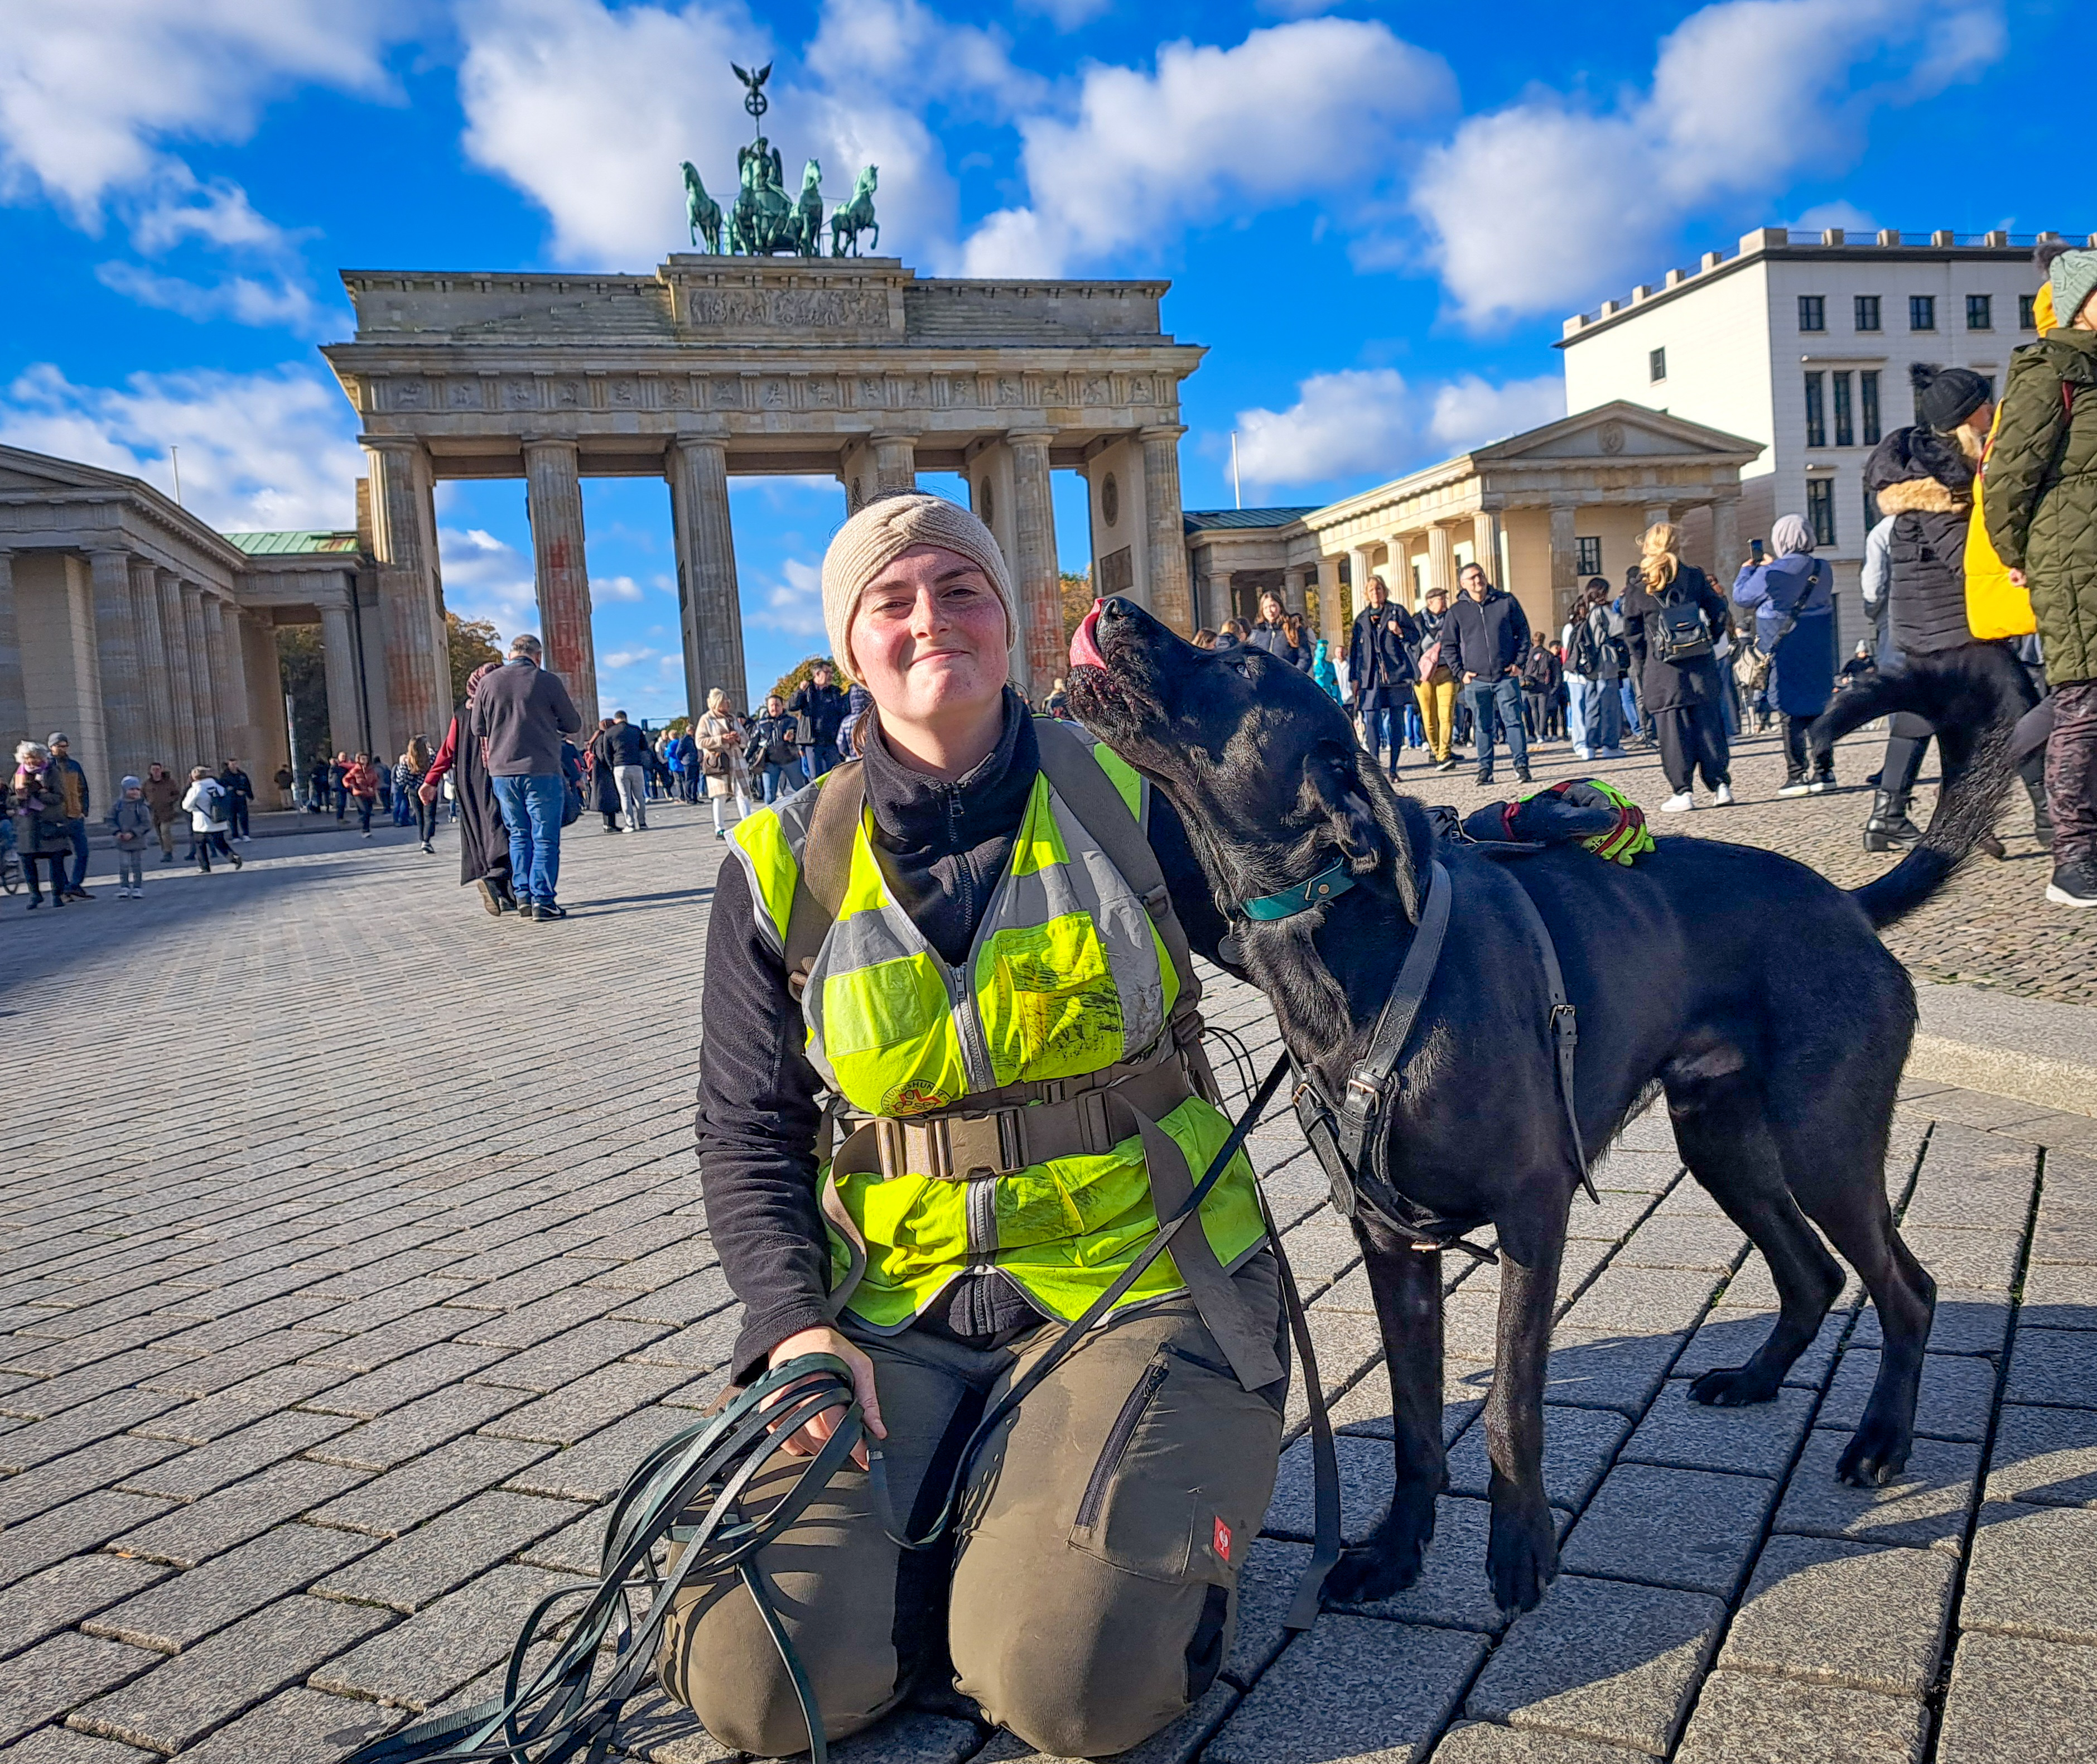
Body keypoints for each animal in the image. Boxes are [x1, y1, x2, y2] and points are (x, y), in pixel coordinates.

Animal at [1065, 600, 2013, 1619]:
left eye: (1240, 662)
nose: (1113, 605)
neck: (1354, 949)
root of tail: (1845, 903)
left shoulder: (1532, 1212)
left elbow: (1509, 1404)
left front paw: (1520, 1548)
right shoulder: (1388, 1244)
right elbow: (1412, 1423)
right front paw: (1395, 1549)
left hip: (1822, 1146)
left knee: (1903, 1288)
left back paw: (1879, 1439)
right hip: (1720, 1143)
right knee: (1811, 1274)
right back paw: (1753, 1379)